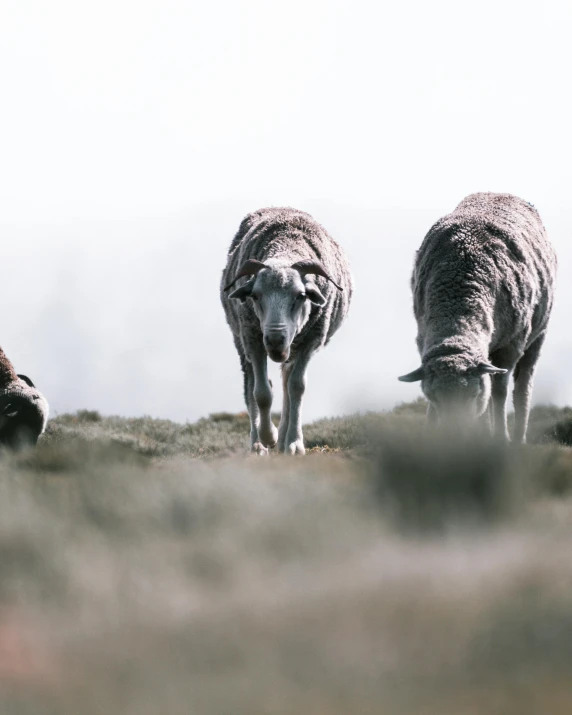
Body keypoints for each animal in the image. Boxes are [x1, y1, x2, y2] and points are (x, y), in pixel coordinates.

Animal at [220, 207, 350, 456]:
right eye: (255, 295)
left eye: (301, 296)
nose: (275, 340)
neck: (286, 245)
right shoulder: (253, 339)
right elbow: (261, 392)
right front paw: (268, 436)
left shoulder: (312, 340)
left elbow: (297, 387)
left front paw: (293, 444)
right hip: (242, 341)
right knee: (250, 385)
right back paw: (258, 445)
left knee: (288, 383)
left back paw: (284, 441)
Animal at [400, 193, 556, 444]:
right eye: (434, 398)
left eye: (472, 396)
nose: (453, 436)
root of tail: (499, 193)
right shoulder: (423, 339)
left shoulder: (509, 348)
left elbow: (499, 392)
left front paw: (500, 437)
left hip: (537, 335)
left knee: (522, 387)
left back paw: (518, 438)